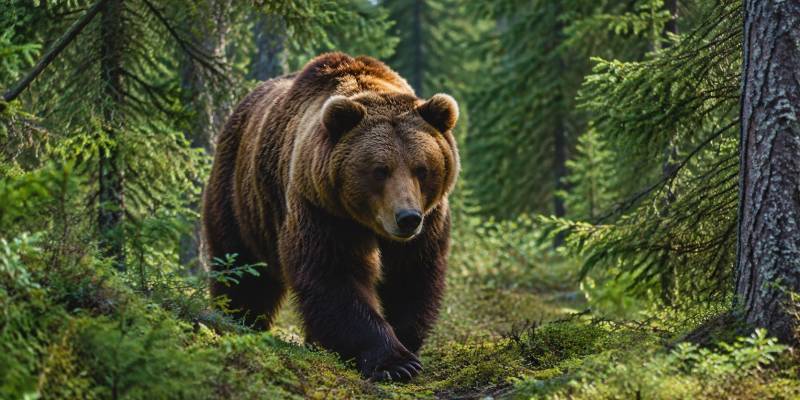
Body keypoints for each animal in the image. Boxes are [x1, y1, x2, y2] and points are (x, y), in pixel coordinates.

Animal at [202, 52, 459, 381]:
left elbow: (411, 274)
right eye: (380, 170)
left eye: (421, 169)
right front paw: (395, 362)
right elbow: (335, 276)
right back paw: (239, 320)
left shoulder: (429, 222)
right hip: (240, 198)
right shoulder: (323, 209)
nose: (407, 218)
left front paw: (405, 343)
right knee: (241, 268)